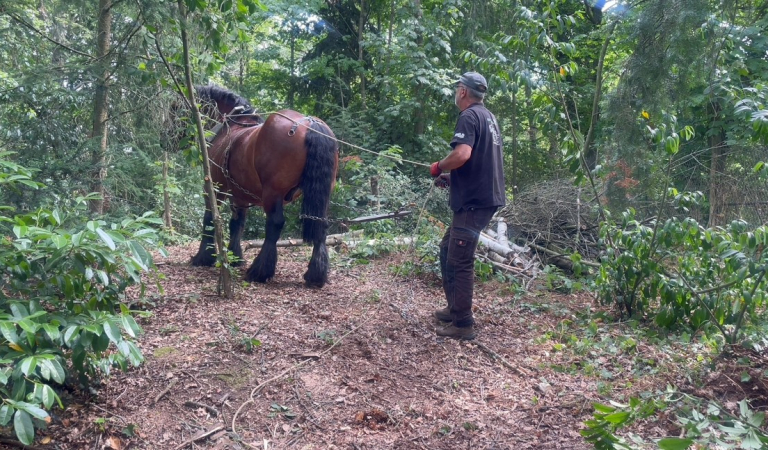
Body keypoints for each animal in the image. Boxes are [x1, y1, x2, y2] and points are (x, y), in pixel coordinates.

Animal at [190, 86, 340, 286]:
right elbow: (237, 223)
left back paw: (259, 271)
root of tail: (310, 123)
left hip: (272, 193)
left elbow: (210, 219)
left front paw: (204, 257)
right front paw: (236, 257)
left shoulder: (215, 186)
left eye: (174, 105)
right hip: (322, 194)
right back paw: (316, 275)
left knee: (274, 225)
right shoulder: (239, 195)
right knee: (320, 225)